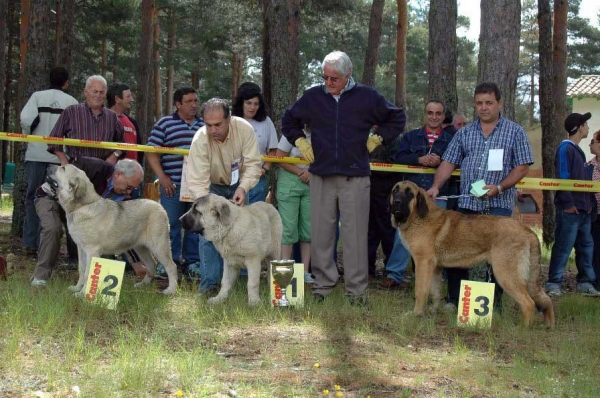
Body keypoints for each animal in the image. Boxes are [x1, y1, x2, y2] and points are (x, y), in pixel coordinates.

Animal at [390, 180, 552, 326]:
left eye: (409, 194)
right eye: (395, 191)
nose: (396, 202)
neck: (417, 217)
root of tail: (528, 231)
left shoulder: (423, 263)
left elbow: (421, 291)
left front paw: (416, 313)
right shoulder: (435, 267)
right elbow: (435, 293)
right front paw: (432, 312)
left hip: (505, 274)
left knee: (528, 303)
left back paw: (523, 328)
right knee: (546, 300)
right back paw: (549, 325)